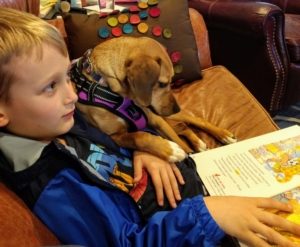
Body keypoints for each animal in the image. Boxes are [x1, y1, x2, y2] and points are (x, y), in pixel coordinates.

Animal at [70, 35, 237, 162]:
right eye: (162, 83)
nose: (176, 108)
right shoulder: (115, 136)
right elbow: (139, 137)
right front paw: (169, 150)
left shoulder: (155, 119)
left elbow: (179, 142)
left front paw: (185, 153)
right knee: (183, 127)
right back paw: (198, 143)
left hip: (169, 117)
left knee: (195, 120)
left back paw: (223, 135)